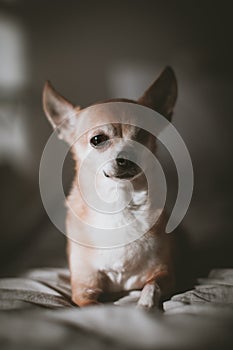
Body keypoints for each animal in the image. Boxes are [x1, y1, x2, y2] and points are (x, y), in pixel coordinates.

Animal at [43, 67, 178, 308]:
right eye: (97, 140)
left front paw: (145, 306)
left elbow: (151, 287)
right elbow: (97, 308)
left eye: (142, 136)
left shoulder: (166, 274)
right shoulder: (83, 290)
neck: (120, 204)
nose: (127, 155)